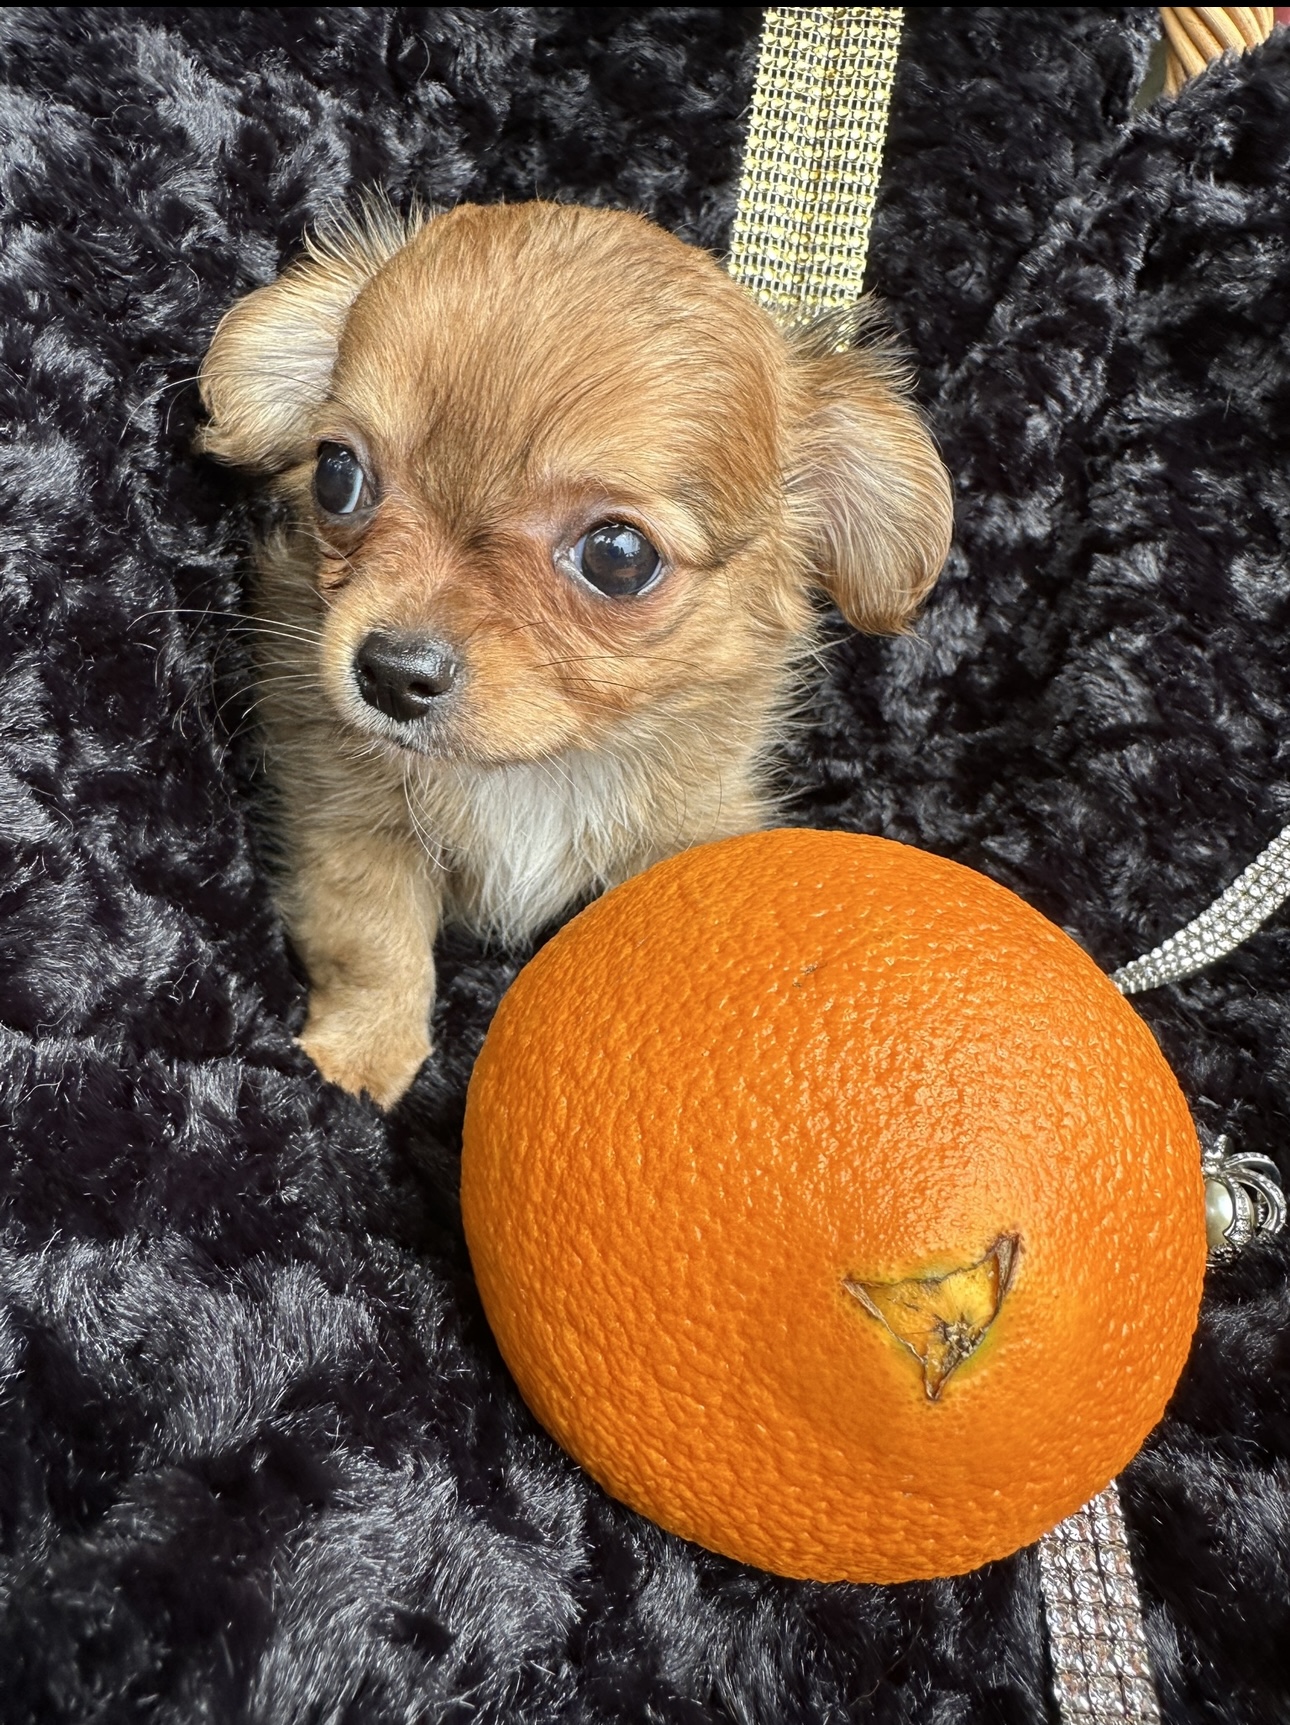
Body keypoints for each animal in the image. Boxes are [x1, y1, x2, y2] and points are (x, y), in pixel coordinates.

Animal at [199, 201, 945, 1104]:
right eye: (337, 474)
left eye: (618, 556)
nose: (391, 673)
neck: (537, 770)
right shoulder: (346, 814)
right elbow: (370, 941)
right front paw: (360, 1059)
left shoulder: (687, 829)